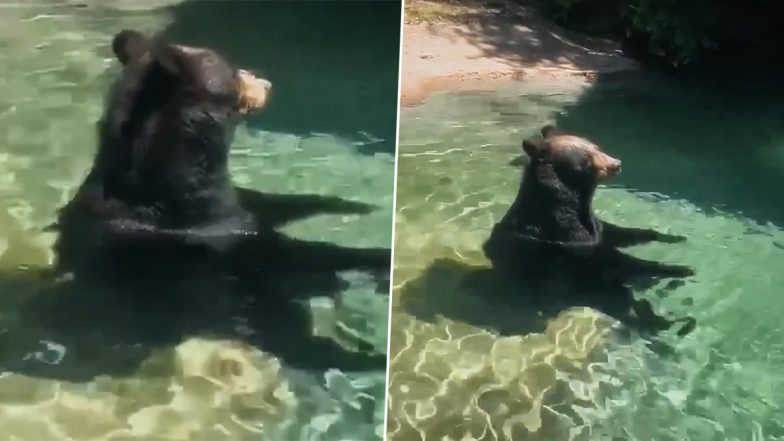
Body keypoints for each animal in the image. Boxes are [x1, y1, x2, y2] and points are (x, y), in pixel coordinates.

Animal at [480, 125, 696, 336]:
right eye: (586, 159)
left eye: (596, 147)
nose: (616, 164)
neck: (571, 204)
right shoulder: (569, 240)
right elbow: (620, 261)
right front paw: (680, 269)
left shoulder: (594, 228)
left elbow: (623, 233)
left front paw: (674, 237)